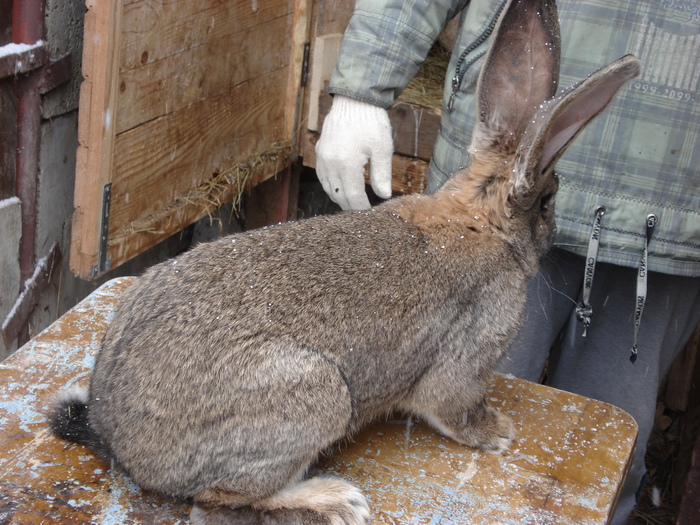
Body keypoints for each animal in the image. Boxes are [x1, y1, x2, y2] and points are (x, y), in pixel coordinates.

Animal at [47, 0, 640, 520]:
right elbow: (453, 407)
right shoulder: (466, 362)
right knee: (219, 499)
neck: (480, 218)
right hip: (317, 396)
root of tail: (122, 441)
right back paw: (335, 499)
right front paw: (497, 433)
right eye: (547, 203)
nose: (556, 230)